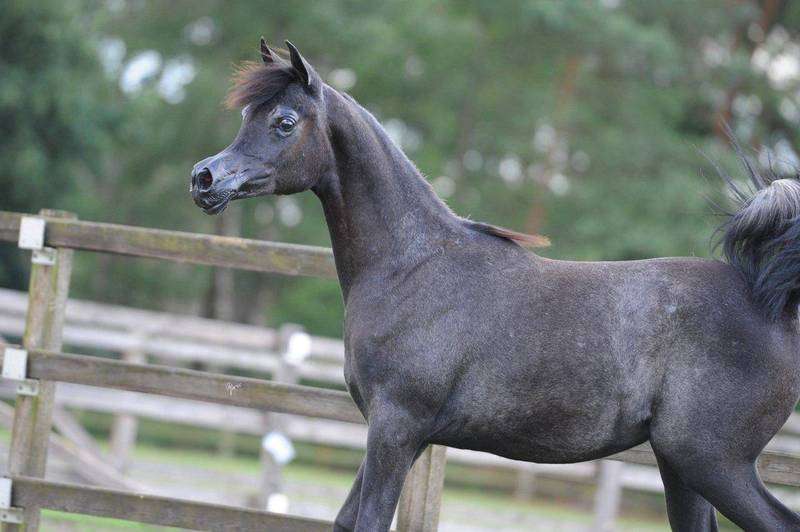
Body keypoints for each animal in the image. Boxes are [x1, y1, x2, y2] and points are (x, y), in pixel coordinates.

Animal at [191, 39, 800, 531]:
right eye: (247, 113)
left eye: (284, 121)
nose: (204, 179)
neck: (413, 267)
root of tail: (769, 300)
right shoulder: (395, 434)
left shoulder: (396, 429)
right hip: (680, 467)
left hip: (712, 462)